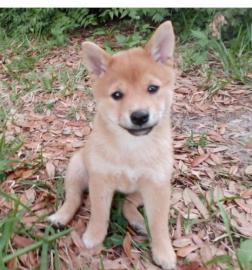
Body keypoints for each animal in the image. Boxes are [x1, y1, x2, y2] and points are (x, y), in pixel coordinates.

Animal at [48, 21, 176, 270]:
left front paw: (164, 252)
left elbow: (159, 223)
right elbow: (99, 213)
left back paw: (138, 221)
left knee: (128, 203)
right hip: (77, 167)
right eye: (117, 95)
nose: (139, 116)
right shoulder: (101, 179)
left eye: (152, 89)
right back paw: (61, 216)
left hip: (145, 188)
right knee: (74, 197)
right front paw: (93, 237)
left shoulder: (157, 185)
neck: (131, 148)